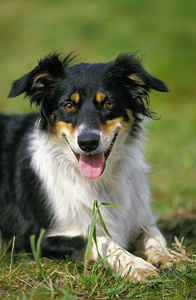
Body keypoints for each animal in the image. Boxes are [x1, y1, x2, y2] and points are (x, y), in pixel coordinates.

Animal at [0, 53, 177, 282]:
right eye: (68, 105)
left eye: (109, 103)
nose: (88, 142)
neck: (101, 181)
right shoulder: (34, 238)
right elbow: (100, 239)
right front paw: (136, 265)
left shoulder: (136, 215)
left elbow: (153, 232)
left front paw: (167, 256)